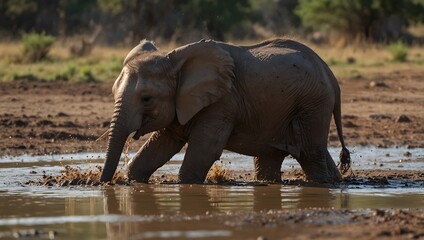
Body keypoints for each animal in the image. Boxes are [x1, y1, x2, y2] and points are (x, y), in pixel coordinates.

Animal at [99, 38, 352, 184]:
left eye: (146, 98)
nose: (104, 184)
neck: (175, 59)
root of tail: (329, 73)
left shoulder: (223, 102)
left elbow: (204, 150)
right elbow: (161, 145)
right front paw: (133, 180)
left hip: (313, 104)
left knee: (310, 154)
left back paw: (323, 185)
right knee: (271, 159)